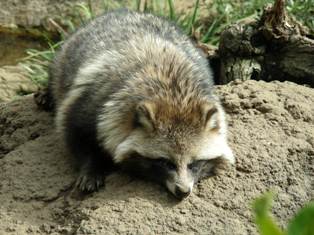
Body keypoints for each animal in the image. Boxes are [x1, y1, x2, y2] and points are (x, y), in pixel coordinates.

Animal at [48, 9, 233, 200]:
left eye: (194, 163)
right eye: (166, 162)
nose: (183, 192)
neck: (173, 93)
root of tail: (125, 11)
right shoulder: (91, 99)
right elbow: (74, 131)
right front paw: (91, 167)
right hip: (65, 54)